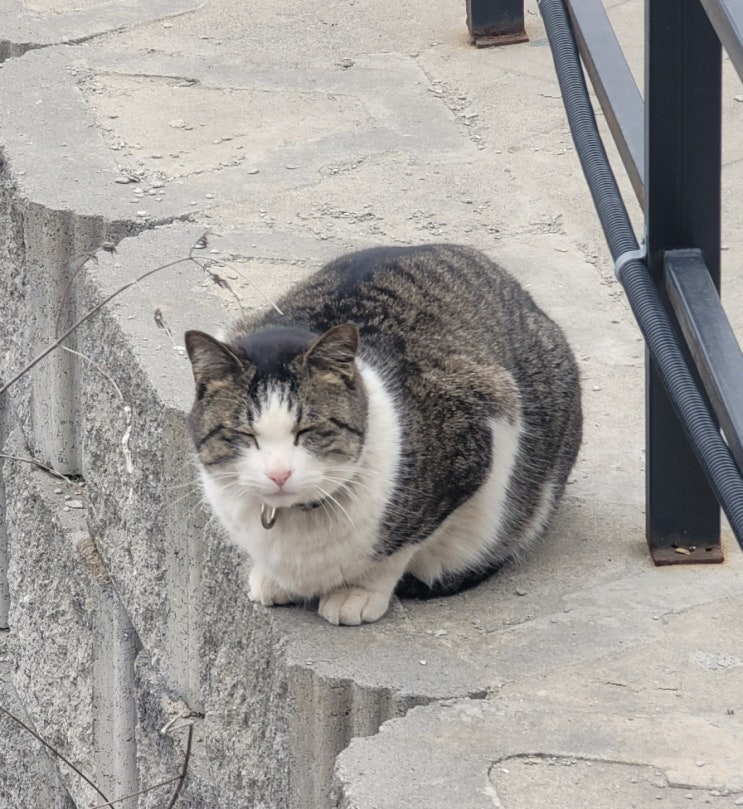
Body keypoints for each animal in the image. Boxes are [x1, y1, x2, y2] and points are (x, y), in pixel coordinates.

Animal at [185, 245, 580, 624]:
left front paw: (357, 592)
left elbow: (398, 550)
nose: (279, 474)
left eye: (309, 430)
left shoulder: (476, 426)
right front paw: (272, 578)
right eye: (244, 434)